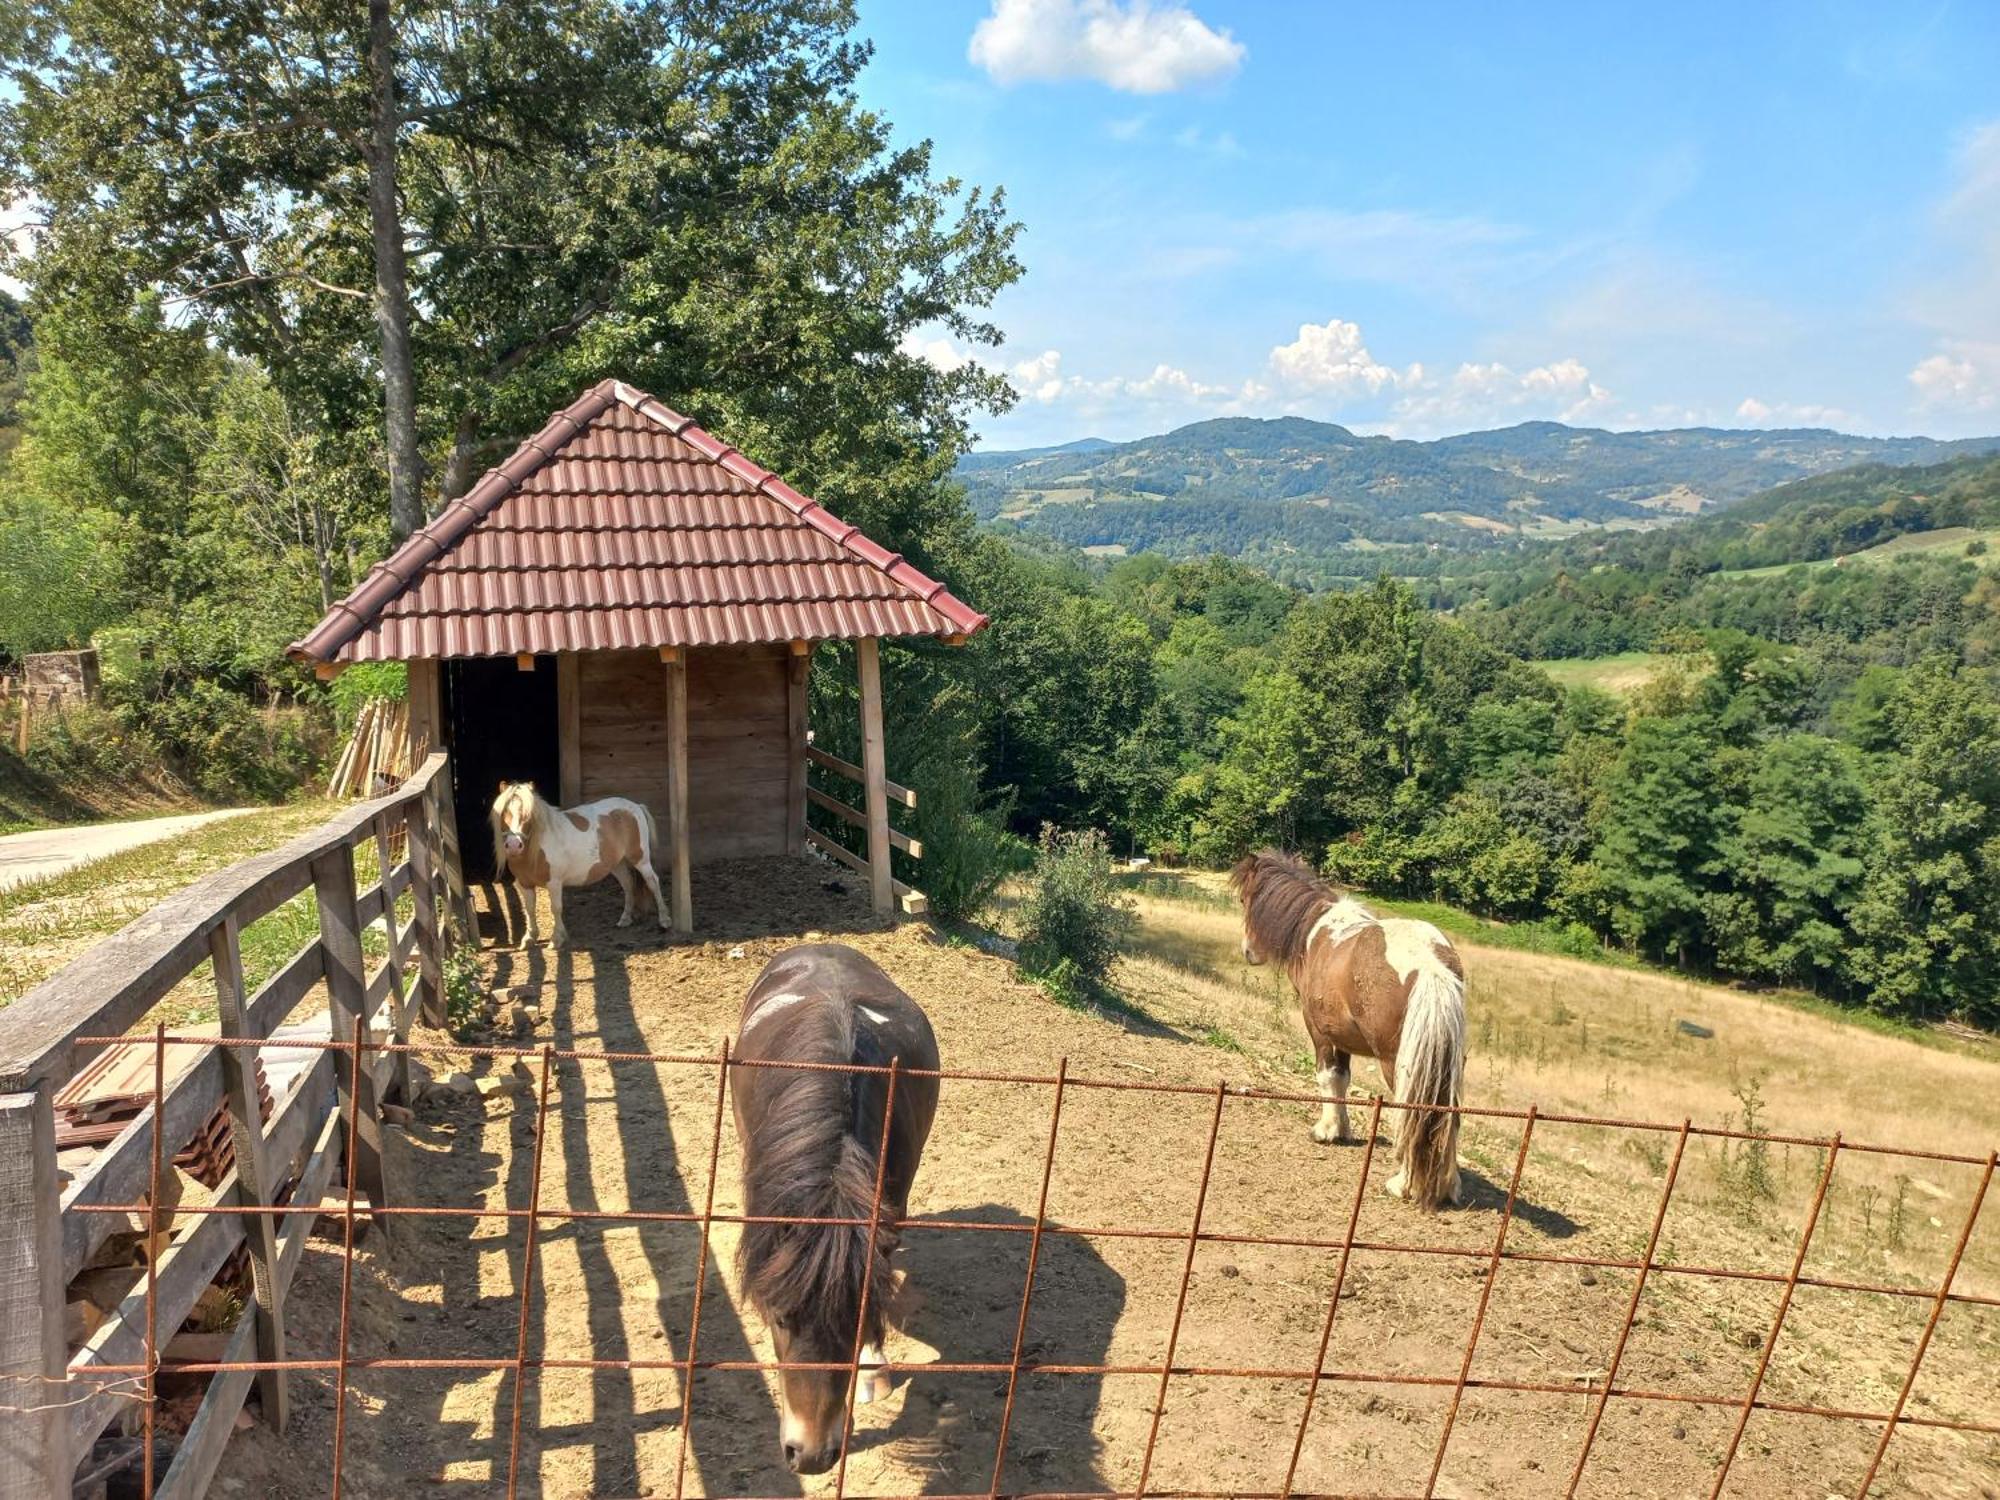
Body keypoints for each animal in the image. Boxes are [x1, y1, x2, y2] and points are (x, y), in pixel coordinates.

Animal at [486, 780, 668, 944]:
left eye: (528, 814)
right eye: (503, 813)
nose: (513, 845)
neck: (534, 849)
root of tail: (635, 806)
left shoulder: (554, 883)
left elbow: (556, 908)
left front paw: (557, 938)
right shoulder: (525, 884)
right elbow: (529, 909)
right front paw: (530, 937)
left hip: (640, 859)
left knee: (653, 882)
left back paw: (664, 920)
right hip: (617, 864)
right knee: (628, 885)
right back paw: (625, 919)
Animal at [1216, 852, 1472, 1216]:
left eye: (1243, 899)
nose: (1248, 952)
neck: (1315, 934)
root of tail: (1430, 967)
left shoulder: (1321, 1032)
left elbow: (1328, 1077)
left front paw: (1327, 1131)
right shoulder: (1343, 1037)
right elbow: (1343, 1080)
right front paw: (1342, 1128)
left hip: (1397, 1064)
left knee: (1414, 1109)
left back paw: (1403, 1184)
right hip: (1448, 1064)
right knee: (1449, 1115)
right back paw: (1449, 1186)